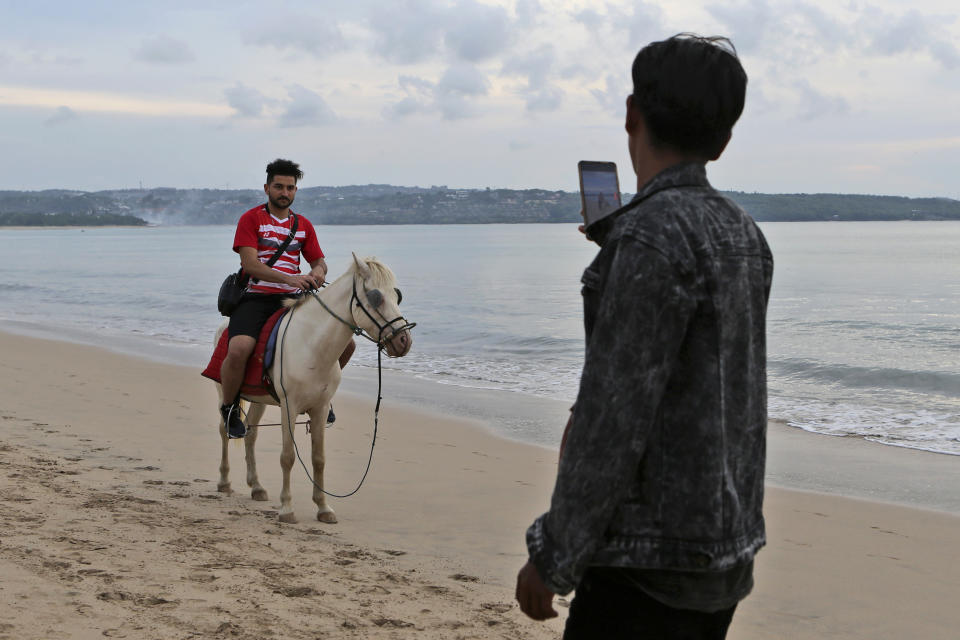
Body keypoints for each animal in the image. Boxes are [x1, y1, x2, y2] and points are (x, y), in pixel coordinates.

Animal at [213, 252, 412, 524]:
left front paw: (323, 507)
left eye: (397, 295)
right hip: (225, 387)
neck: (311, 344)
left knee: (251, 434)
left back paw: (256, 487)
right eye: (376, 297)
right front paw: (287, 508)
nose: (404, 341)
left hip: (259, 399)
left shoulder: (319, 409)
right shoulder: (289, 407)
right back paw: (224, 480)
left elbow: (319, 459)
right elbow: (287, 457)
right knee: (225, 429)